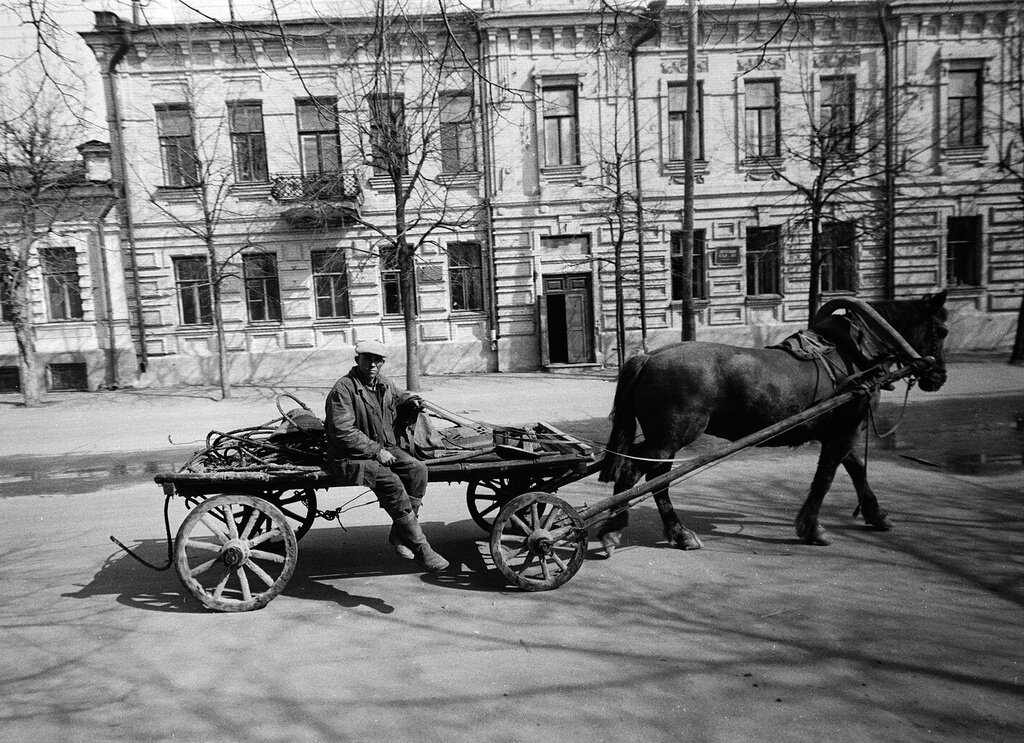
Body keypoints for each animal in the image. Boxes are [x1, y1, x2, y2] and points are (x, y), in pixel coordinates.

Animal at [598, 294, 946, 556]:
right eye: (941, 330)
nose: (938, 376)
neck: (851, 355)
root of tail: (648, 357)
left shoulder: (837, 431)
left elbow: (856, 469)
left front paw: (876, 514)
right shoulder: (844, 431)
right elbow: (826, 478)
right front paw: (812, 528)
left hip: (664, 439)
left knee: (647, 473)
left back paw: (638, 529)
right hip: (669, 438)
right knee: (641, 473)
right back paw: (645, 531)